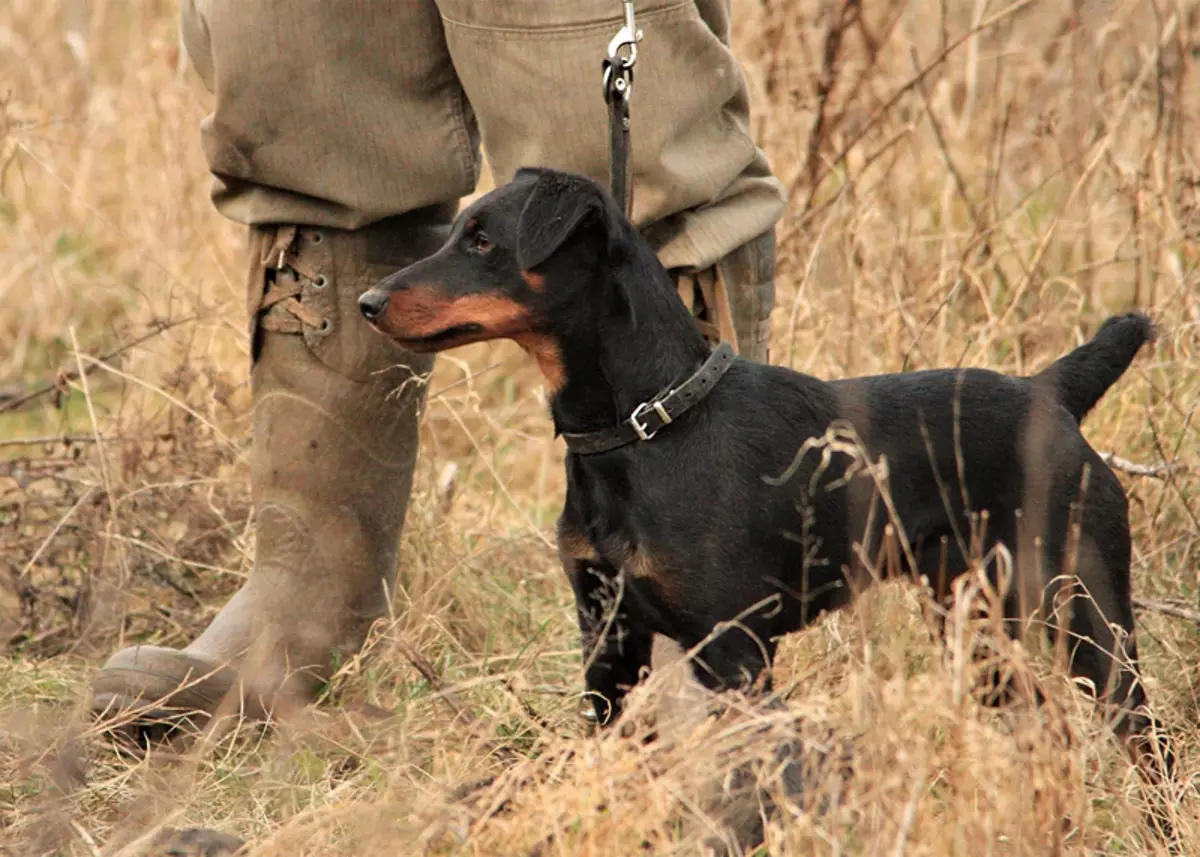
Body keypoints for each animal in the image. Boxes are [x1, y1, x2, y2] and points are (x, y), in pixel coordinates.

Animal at [352, 166, 1171, 782]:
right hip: (976, 624)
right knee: (1047, 727)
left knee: (1145, 737)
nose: (367, 302)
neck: (644, 427)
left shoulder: (735, 651)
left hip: (1087, 613)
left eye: (483, 239)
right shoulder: (608, 641)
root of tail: (1050, 394)